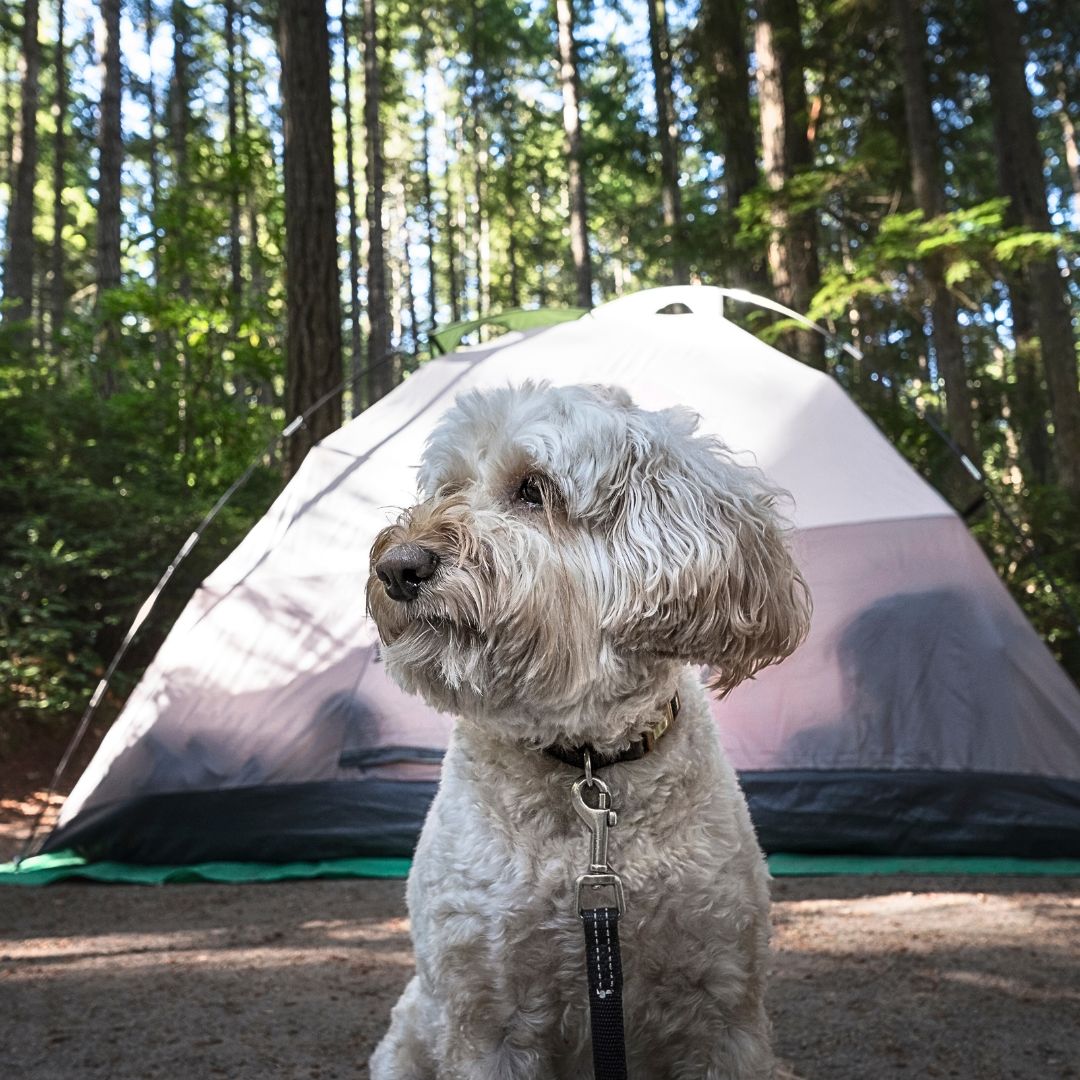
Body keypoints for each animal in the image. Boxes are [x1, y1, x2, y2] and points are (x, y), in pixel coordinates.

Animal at [367, 382, 807, 1080]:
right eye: (446, 487)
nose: (396, 567)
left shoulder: (722, 1009)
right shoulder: (486, 1020)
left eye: (533, 488)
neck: (586, 762)